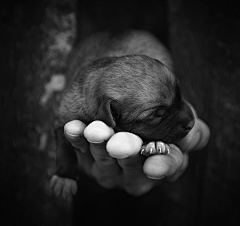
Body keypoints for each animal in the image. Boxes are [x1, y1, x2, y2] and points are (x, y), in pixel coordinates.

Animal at [51, 30, 195, 198]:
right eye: (157, 113)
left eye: (179, 96)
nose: (191, 123)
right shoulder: (64, 115)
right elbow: (64, 148)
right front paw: (64, 177)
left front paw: (154, 143)